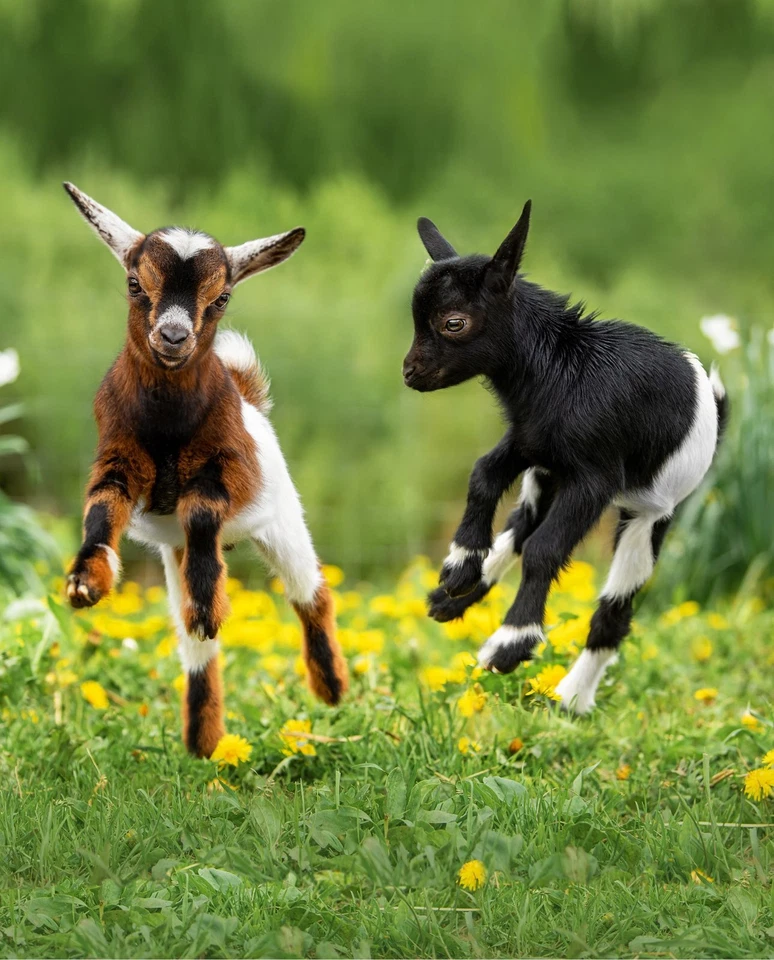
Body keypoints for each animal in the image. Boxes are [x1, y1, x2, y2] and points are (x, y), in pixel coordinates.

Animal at [63, 183, 348, 756]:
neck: (170, 422)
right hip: (171, 556)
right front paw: (87, 582)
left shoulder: (230, 469)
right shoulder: (119, 457)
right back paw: (204, 740)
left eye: (222, 298)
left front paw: (210, 608)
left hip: (283, 522)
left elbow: (200, 508)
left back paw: (330, 688)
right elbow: (100, 509)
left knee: (312, 593)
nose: (173, 337)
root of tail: (249, 397)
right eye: (134, 284)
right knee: (195, 649)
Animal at [403, 201, 728, 714]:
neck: (563, 368)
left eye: (453, 322)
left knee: (612, 611)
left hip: (647, 515)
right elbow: (482, 475)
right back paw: (452, 598)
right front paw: (458, 566)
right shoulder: (529, 442)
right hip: (546, 478)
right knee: (519, 529)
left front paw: (509, 646)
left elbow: (545, 550)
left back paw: (572, 698)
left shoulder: (594, 478)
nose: (410, 373)